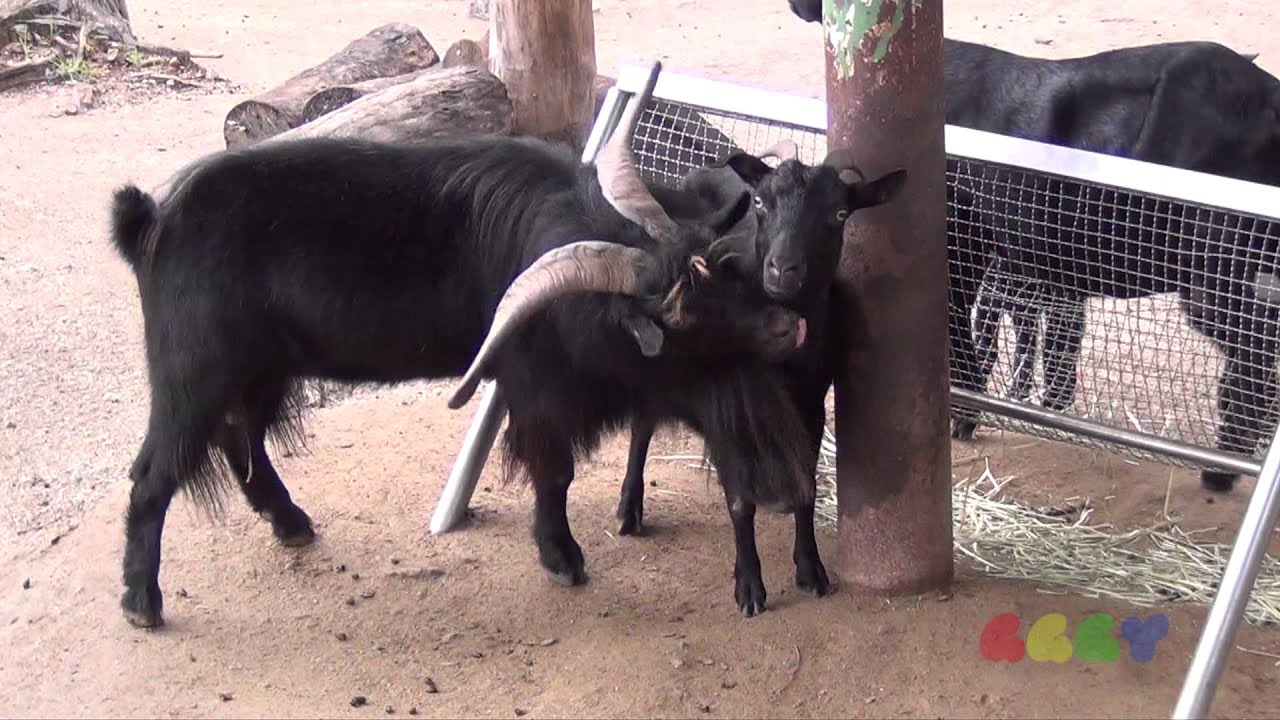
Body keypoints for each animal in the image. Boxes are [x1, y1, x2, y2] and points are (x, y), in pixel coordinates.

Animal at [108, 63, 818, 628]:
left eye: (718, 266)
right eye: (679, 312)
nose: (789, 327)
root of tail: (151, 221)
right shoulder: (537, 387)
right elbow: (554, 471)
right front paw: (563, 558)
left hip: (260, 370)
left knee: (241, 440)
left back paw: (291, 523)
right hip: (193, 373)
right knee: (154, 473)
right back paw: (142, 601)